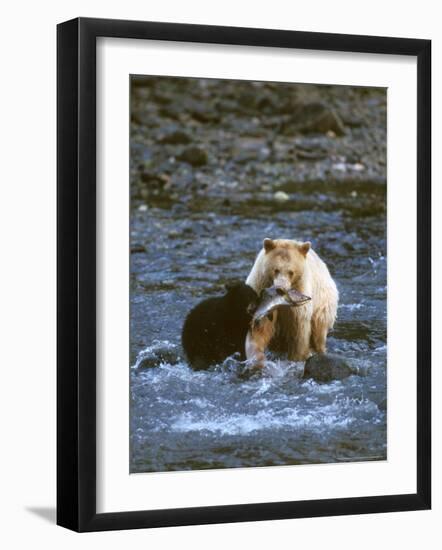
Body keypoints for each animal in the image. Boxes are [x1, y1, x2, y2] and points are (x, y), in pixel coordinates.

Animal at [245, 239, 338, 368]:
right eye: (276, 270)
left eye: (291, 272)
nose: (280, 288)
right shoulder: (260, 288)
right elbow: (261, 329)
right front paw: (257, 358)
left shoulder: (300, 297)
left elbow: (299, 332)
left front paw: (297, 358)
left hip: (323, 301)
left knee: (319, 329)